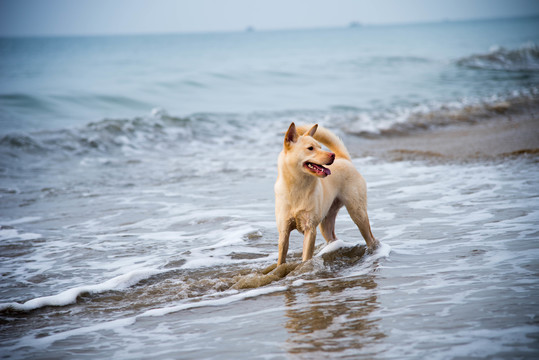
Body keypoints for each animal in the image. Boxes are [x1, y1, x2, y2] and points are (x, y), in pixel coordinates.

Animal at [274, 124, 380, 264]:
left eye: (320, 147)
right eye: (310, 148)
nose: (332, 155)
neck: (298, 186)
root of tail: (344, 158)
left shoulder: (310, 229)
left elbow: (306, 257)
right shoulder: (284, 231)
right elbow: (281, 258)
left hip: (358, 214)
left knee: (370, 238)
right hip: (325, 224)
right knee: (333, 238)